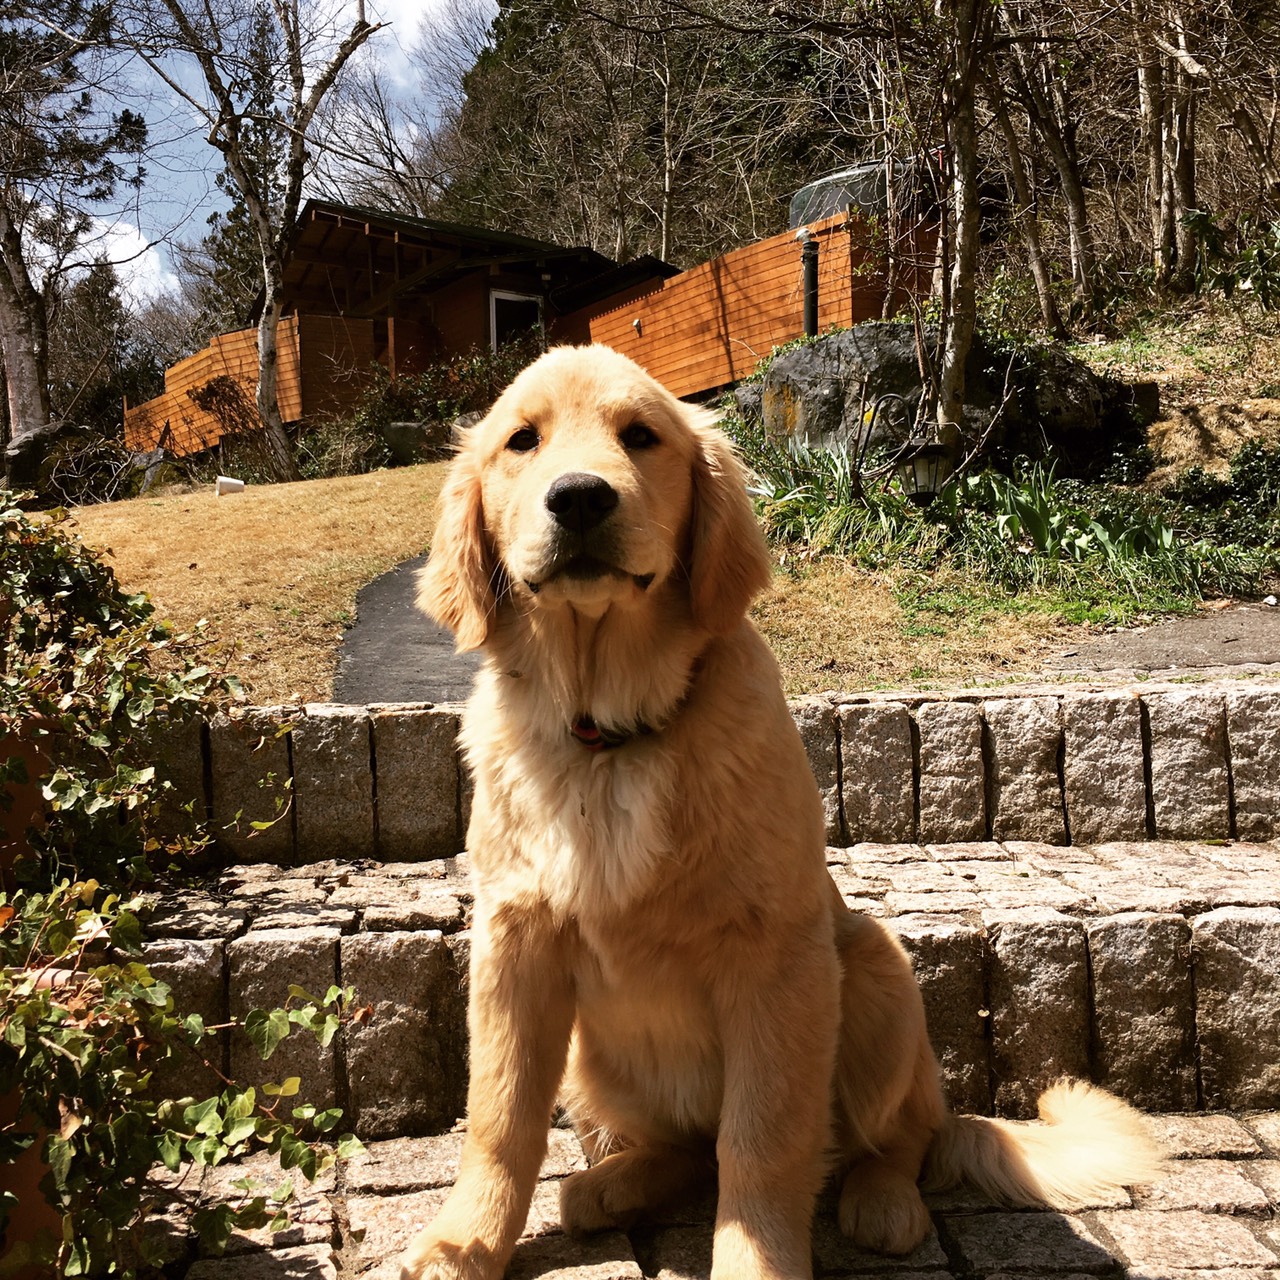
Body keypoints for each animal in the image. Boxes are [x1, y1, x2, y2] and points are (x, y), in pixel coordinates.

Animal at [404, 343, 1167, 1280]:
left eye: (641, 436)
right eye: (522, 441)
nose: (579, 497)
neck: (610, 736)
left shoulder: (776, 959)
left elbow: (761, 1142)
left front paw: (756, 1259)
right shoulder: (515, 946)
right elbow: (499, 1116)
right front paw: (463, 1240)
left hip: (874, 971)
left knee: (897, 1137)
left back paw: (882, 1200)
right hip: (594, 1057)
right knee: (687, 1150)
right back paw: (613, 1186)